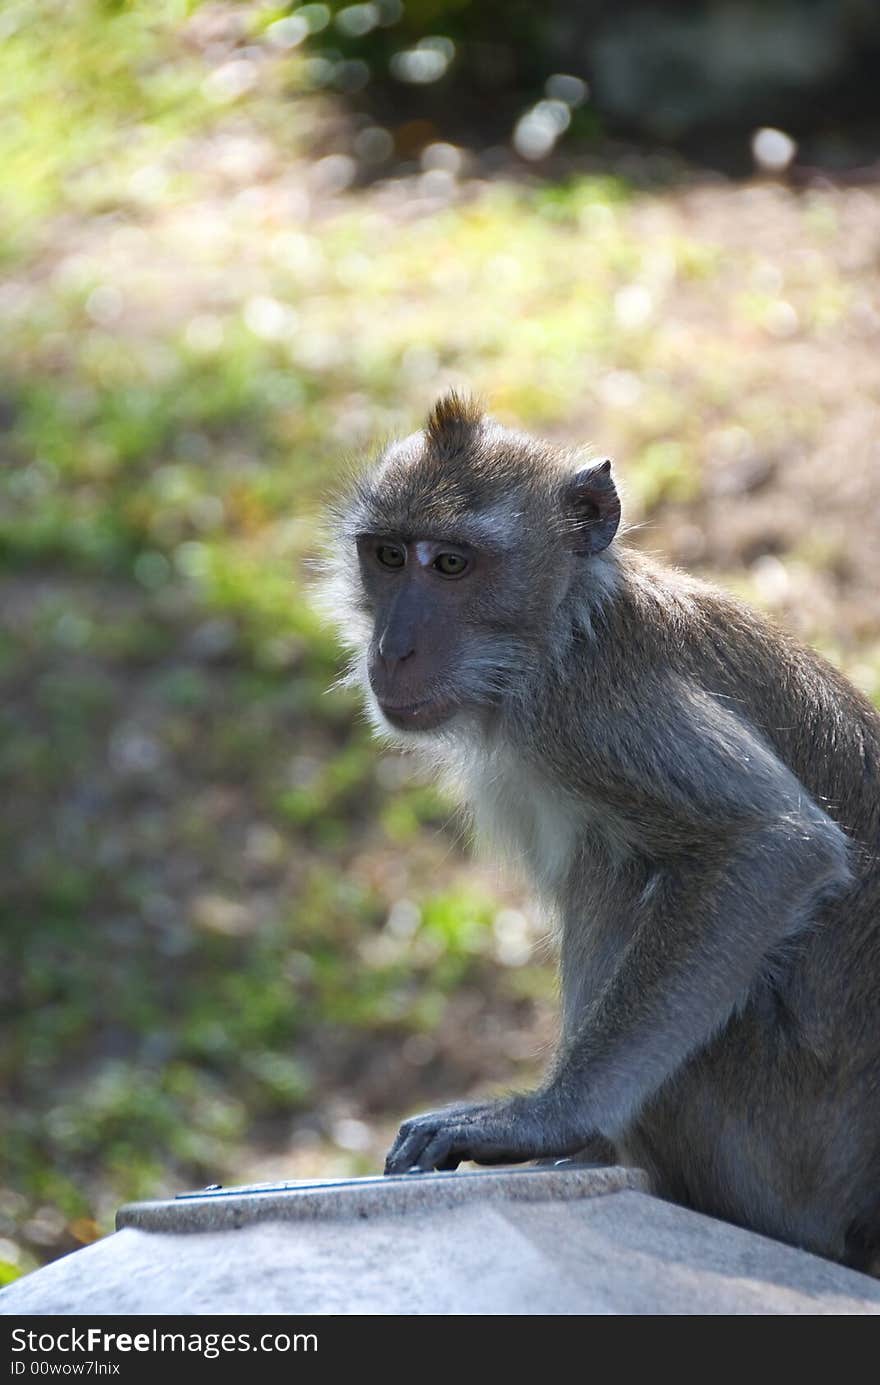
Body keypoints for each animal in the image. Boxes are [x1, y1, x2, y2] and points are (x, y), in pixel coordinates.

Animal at [320, 393, 880, 1274]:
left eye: (452, 565)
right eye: (387, 556)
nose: (393, 647)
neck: (560, 625)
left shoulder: (592, 708)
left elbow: (774, 843)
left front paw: (542, 1119)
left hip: (793, 1147)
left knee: (624, 864)